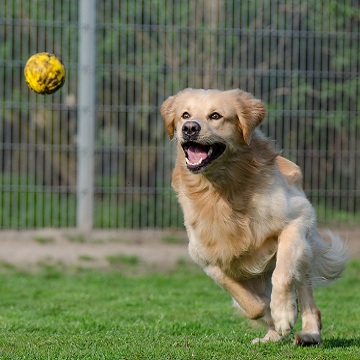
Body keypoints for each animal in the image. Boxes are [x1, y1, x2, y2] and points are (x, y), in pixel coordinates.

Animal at [160, 88, 346, 346]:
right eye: (184, 114)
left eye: (215, 116)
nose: (189, 128)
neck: (222, 191)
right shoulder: (208, 259)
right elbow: (252, 305)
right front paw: (273, 319)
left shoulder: (297, 220)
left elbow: (283, 274)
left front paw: (284, 313)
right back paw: (271, 335)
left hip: (304, 249)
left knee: (305, 291)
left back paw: (309, 332)